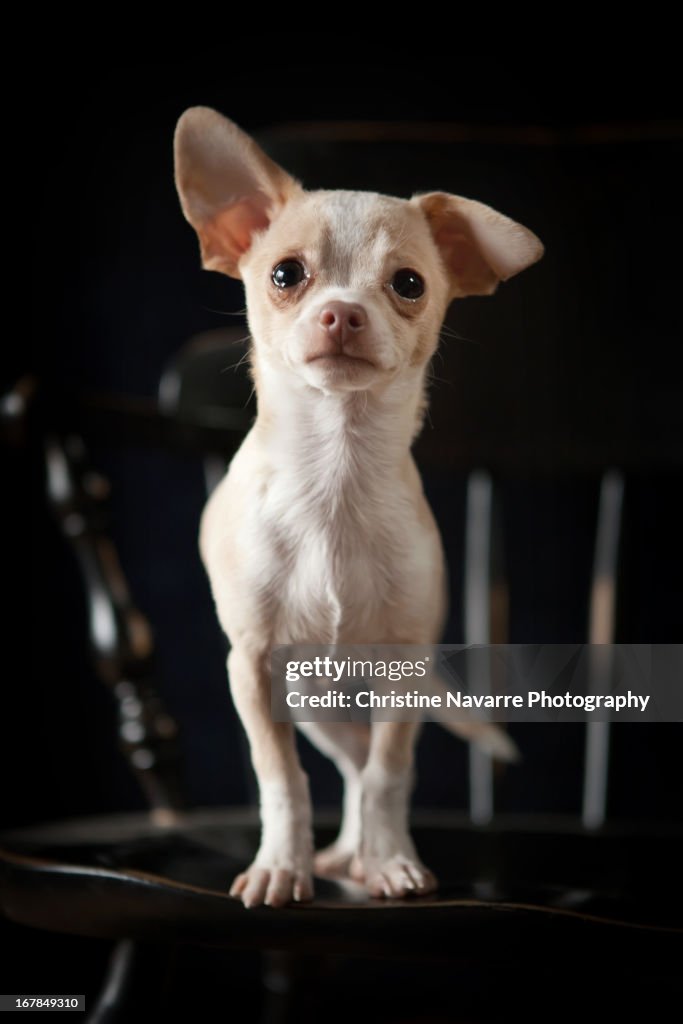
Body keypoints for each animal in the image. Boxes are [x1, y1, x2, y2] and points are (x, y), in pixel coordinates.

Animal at [174, 110, 540, 913]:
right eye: (286, 275)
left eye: (407, 284)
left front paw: (390, 862)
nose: (341, 313)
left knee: (366, 768)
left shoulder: (403, 668)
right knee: (338, 766)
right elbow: (281, 780)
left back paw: (365, 854)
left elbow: (387, 775)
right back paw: (337, 854)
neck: (335, 479)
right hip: (313, 703)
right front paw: (282, 866)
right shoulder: (253, 669)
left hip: (357, 699)